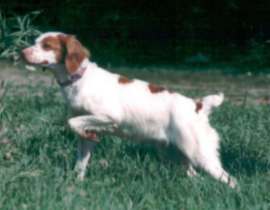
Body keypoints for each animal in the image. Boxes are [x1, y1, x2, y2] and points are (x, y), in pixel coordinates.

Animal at [21, 32, 236, 188]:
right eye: (35, 42)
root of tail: (198, 106)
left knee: (230, 180)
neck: (79, 80)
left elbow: (71, 122)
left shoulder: (109, 117)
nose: (22, 52)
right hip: (175, 154)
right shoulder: (86, 134)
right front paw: (76, 183)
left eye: (47, 45)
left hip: (200, 154)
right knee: (194, 176)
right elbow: (81, 161)